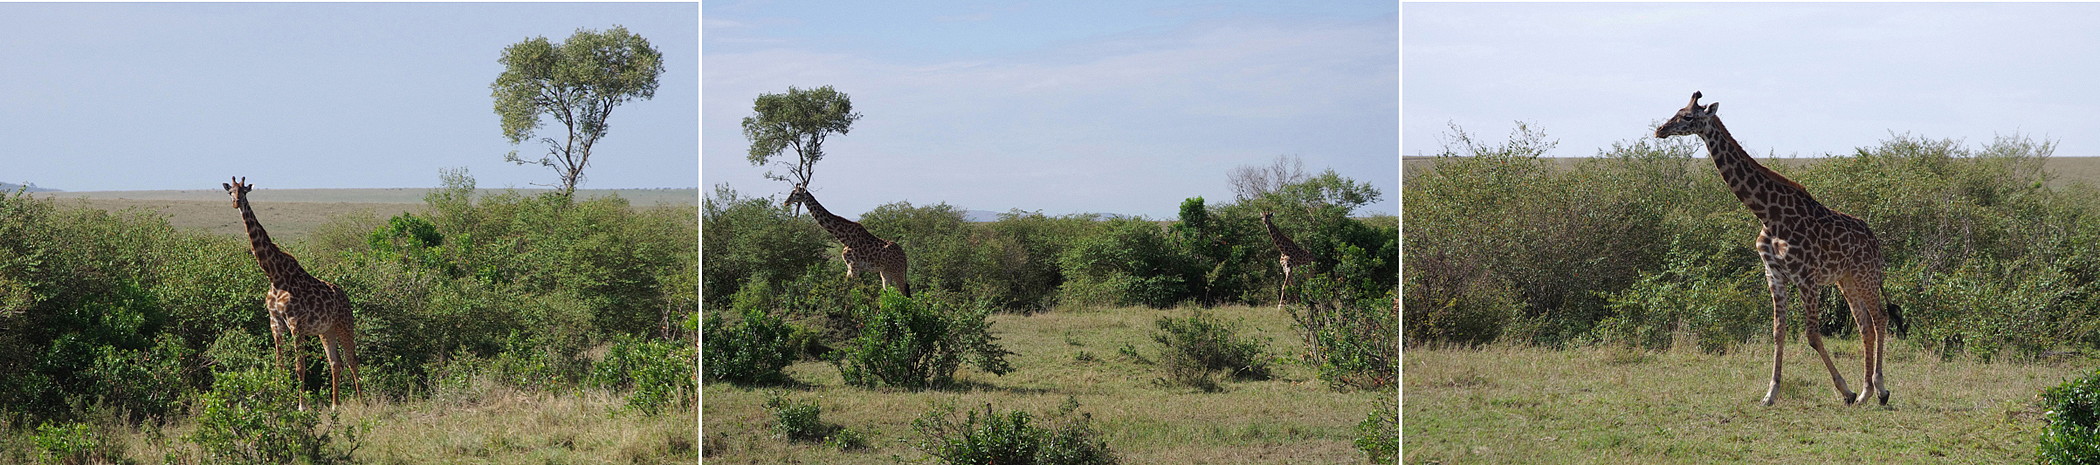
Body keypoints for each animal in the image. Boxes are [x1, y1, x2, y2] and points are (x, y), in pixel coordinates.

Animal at [223, 176, 363, 406]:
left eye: (244, 191)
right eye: (230, 192)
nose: (236, 203)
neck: (275, 276)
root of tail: (345, 296)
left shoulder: (297, 324)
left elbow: (300, 366)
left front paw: (301, 406)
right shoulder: (275, 323)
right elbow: (279, 365)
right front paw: (277, 400)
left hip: (344, 324)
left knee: (352, 360)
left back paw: (361, 401)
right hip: (326, 331)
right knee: (335, 362)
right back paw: (335, 405)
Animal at [781, 183, 911, 296]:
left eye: (796, 194)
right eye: (792, 192)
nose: (785, 202)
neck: (844, 237)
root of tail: (904, 255)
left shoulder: (854, 266)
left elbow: (855, 291)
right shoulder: (849, 267)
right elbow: (846, 288)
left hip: (897, 270)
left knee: (905, 293)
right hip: (885, 272)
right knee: (888, 293)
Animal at [1663, 92, 1898, 406]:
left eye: (1688, 116)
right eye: (1676, 111)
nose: (1660, 130)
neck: (1768, 214)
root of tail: (1875, 241)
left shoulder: (1806, 278)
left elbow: (1811, 334)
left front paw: (1844, 390)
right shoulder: (1774, 275)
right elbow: (1778, 332)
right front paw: (1771, 392)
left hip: (1865, 274)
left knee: (1880, 317)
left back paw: (1880, 389)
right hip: (1845, 280)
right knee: (1865, 326)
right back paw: (1865, 393)